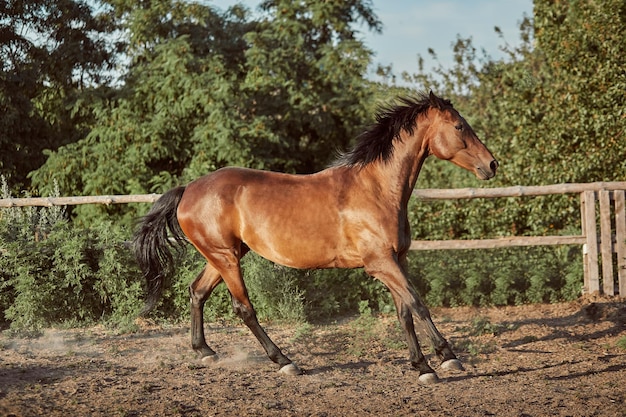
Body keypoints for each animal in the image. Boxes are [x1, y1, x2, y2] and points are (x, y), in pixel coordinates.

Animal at [133, 91, 498, 384]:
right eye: (460, 126)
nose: (492, 165)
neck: (377, 189)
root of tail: (188, 190)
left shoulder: (396, 260)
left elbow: (404, 311)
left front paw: (424, 365)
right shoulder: (380, 263)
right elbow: (418, 304)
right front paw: (443, 359)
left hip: (225, 256)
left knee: (197, 291)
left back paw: (206, 352)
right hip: (225, 257)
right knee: (243, 308)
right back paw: (285, 362)